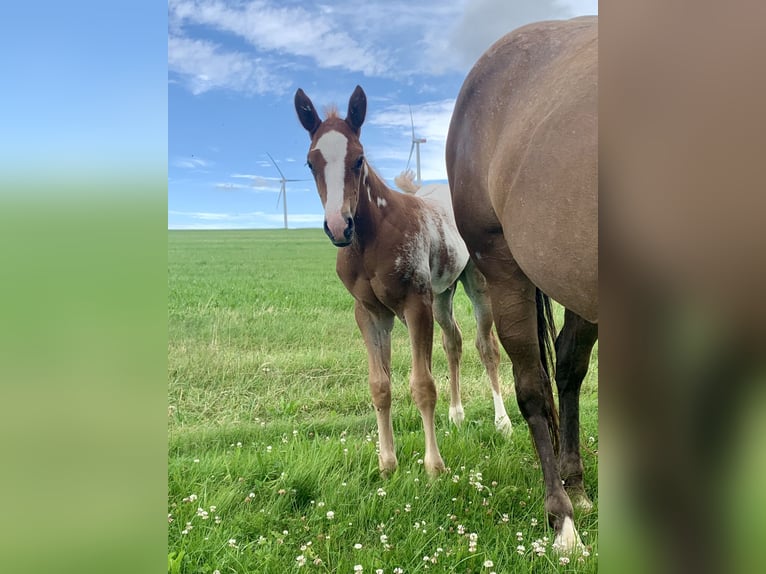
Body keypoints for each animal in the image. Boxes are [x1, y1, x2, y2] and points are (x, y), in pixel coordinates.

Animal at [296, 85, 512, 480]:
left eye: (359, 159)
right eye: (311, 162)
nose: (339, 226)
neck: (370, 241)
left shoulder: (414, 305)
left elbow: (423, 384)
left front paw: (434, 467)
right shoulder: (370, 313)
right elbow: (380, 386)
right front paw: (387, 463)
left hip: (475, 284)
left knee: (486, 346)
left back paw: (502, 422)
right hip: (441, 295)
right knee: (453, 342)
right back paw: (457, 414)